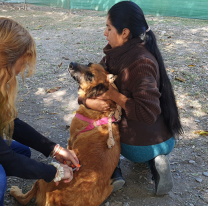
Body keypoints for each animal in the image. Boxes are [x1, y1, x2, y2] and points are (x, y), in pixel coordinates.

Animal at [10, 62, 121, 206]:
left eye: (90, 76)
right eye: (88, 63)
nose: (72, 63)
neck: (104, 109)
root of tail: (56, 200)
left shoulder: (71, 140)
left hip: (43, 179)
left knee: (24, 198)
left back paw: (15, 191)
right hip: (109, 187)